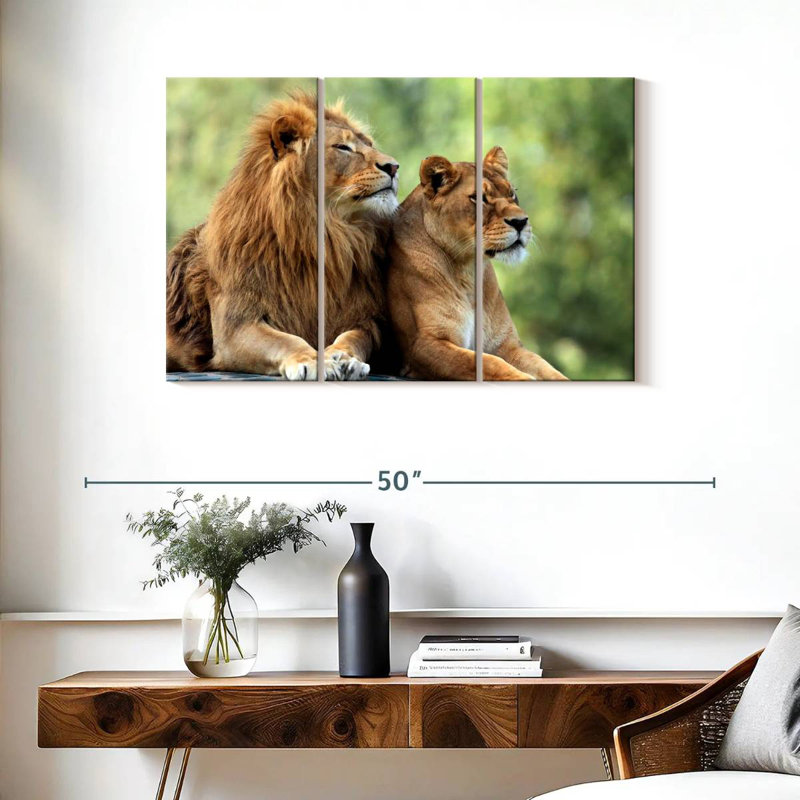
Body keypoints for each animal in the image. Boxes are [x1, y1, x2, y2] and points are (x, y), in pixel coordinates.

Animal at [166, 92, 399, 380]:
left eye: (369, 144)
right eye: (343, 147)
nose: (394, 167)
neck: (326, 236)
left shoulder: (365, 318)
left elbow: (354, 337)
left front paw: (344, 357)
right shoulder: (235, 326)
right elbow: (286, 340)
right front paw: (314, 361)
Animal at [385, 146, 567, 381]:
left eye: (512, 194)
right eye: (478, 198)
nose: (521, 222)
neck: (468, 271)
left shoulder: (507, 344)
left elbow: (546, 368)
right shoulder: (423, 345)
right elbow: (488, 363)